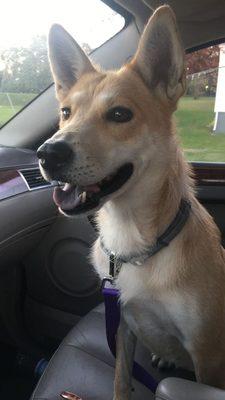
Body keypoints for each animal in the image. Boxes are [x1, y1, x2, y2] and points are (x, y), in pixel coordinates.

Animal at [37, 5, 225, 396]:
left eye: (120, 114)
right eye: (65, 113)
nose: (47, 153)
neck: (136, 239)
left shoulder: (208, 355)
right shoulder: (121, 323)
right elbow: (121, 379)